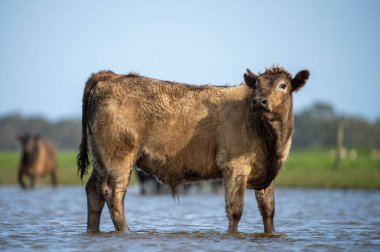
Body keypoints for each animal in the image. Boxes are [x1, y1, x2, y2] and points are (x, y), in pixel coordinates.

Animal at [76, 66, 308, 233]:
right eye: (257, 84)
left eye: (283, 85)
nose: (259, 101)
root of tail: (112, 76)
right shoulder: (234, 167)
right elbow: (235, 210)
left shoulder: (266, 174)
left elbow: (269, 210)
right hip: (119, 159)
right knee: (113, 194)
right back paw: (125, 231)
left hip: (100, 160)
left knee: (94, 192)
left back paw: (93, 231)